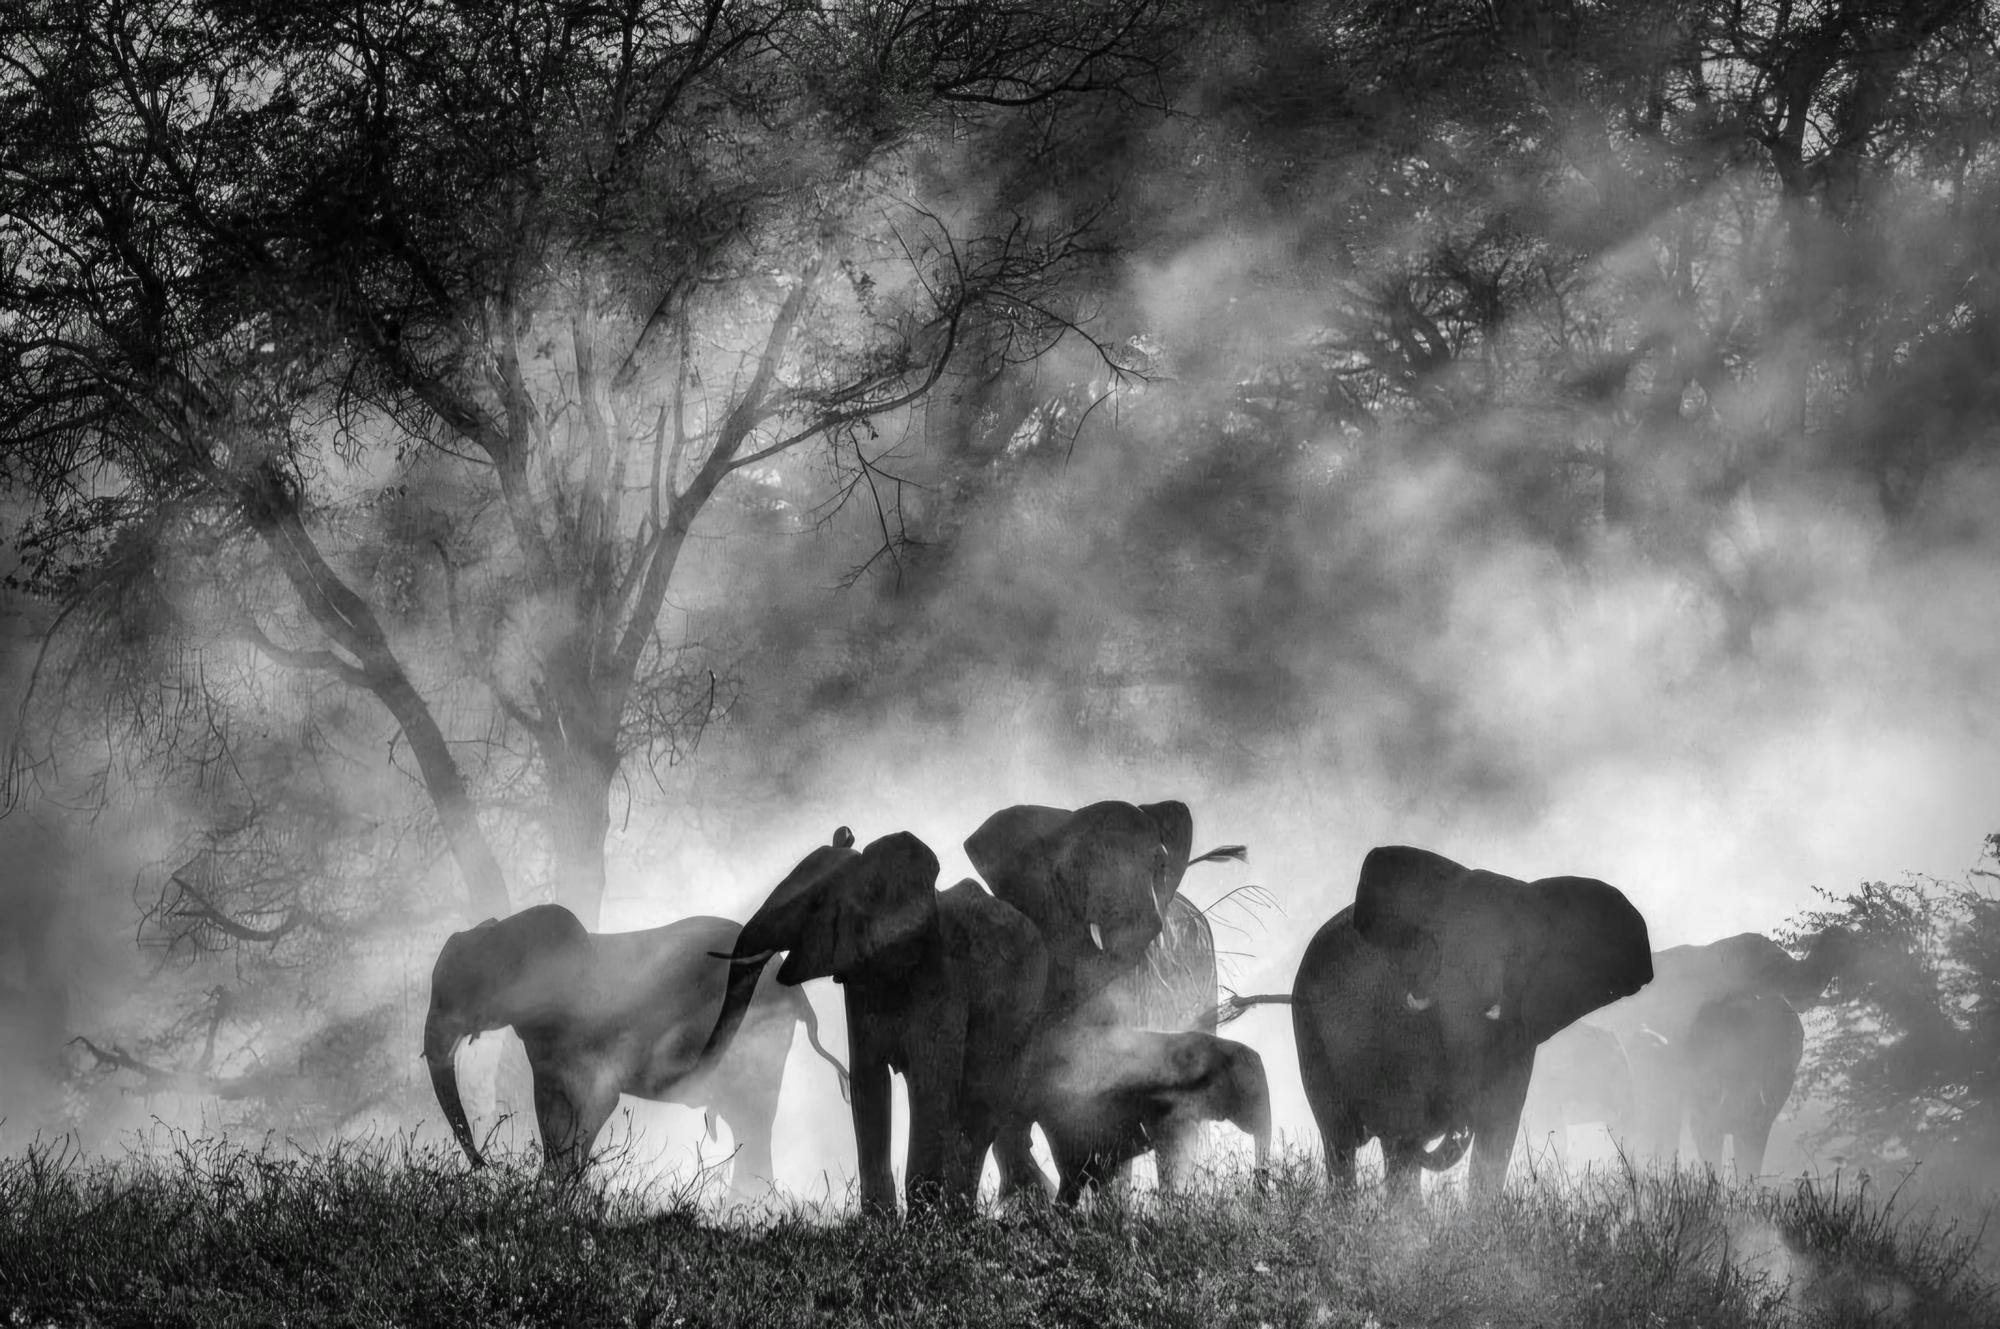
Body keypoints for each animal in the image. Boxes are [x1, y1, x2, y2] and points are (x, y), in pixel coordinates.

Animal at [423, 905, 849, 1185]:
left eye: (464, 990)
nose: (485, 1167)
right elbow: (551, 1112)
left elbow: (596, 1102)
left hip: (758, 1037)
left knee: (753, 1118)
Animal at [699, 828, 1048, 1215]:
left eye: (816, 904)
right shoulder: (860, 978)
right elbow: (867, 1082)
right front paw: (878, 1221)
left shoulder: (944, 978)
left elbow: (930, 1081)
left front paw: (922, 1222)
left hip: (1022, 1014)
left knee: (981, 1106)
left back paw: (960, 1216)